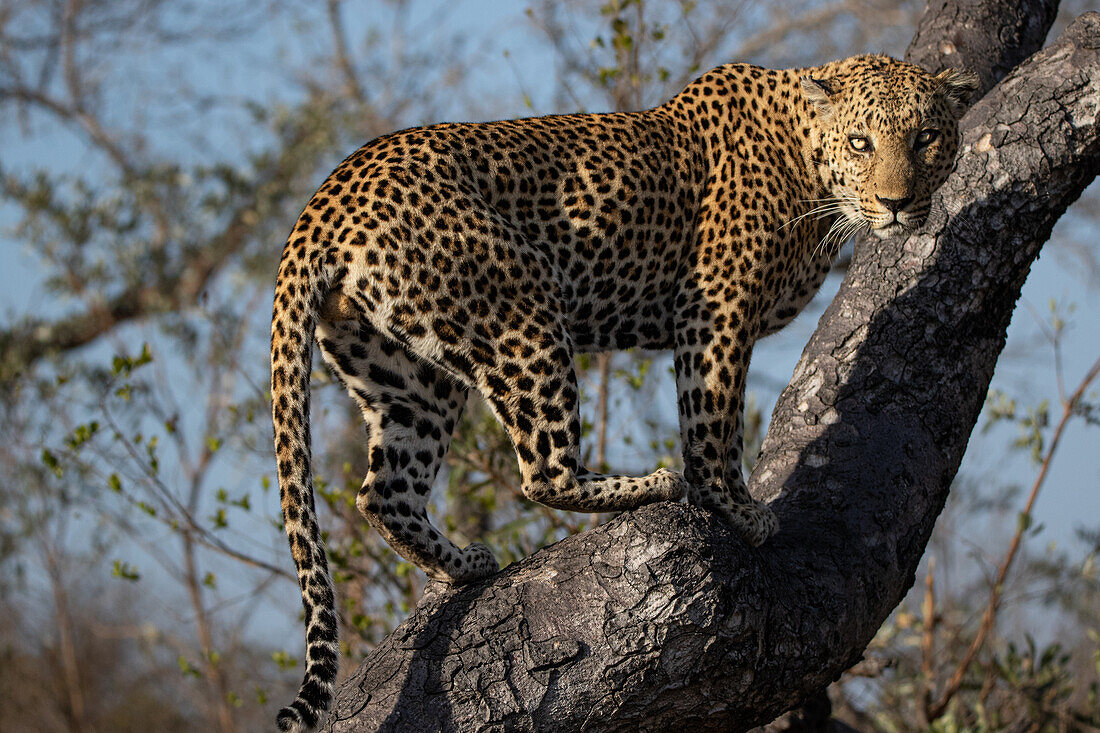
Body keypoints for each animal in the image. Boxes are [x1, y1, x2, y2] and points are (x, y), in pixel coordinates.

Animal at [270, 54, 976, 726]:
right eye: (861, 142)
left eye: (927, 138)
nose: (896, 203)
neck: (806, 161)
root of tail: (322, 202)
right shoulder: (715, 306)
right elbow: (712, 420)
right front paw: (735, 510)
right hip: (521, 307)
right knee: (543, 473)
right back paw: (653, 485)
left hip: (409, 378)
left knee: (382, 493)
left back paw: (464, 566)